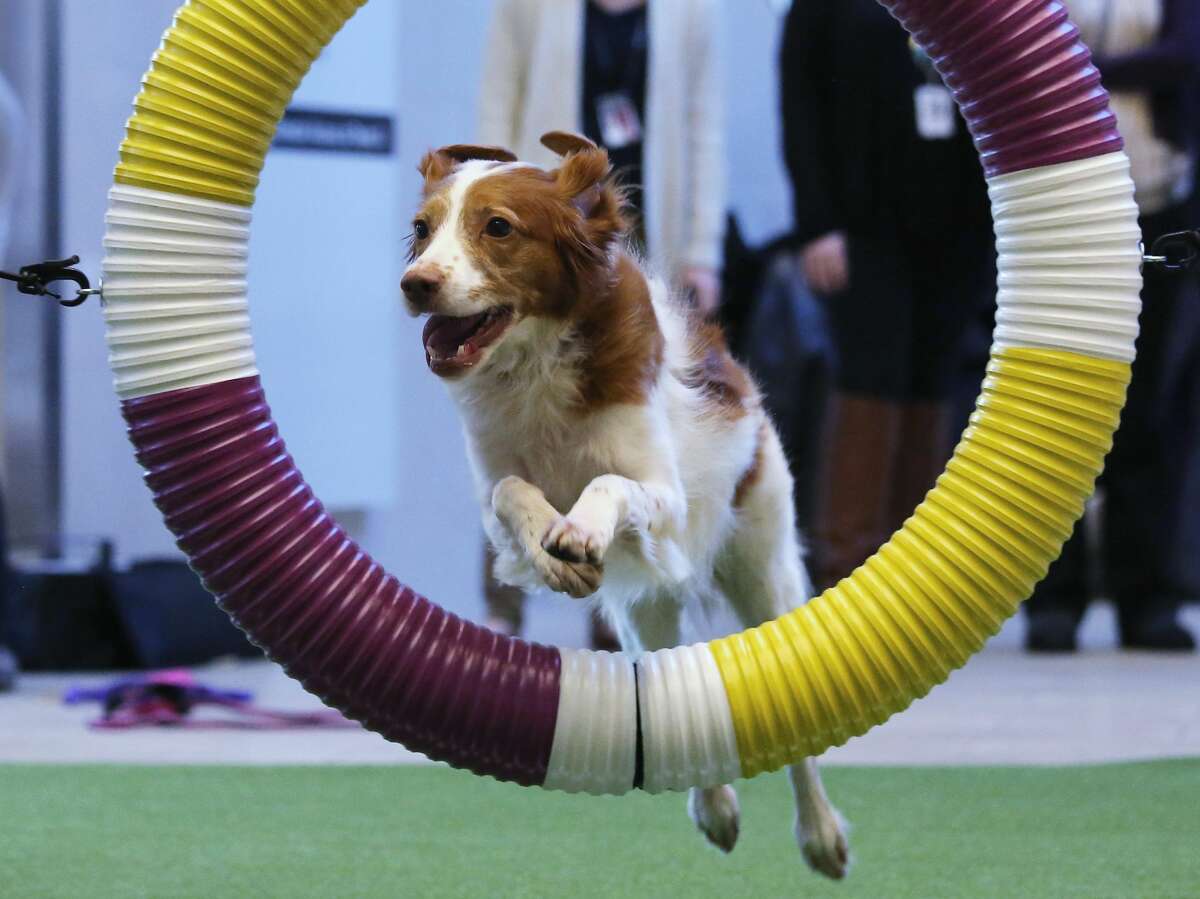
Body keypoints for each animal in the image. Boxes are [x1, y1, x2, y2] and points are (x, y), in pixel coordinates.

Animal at [405, 133, 854, 878]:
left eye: (498, 227)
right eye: (421, 228)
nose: (416, 282)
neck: (535, 364)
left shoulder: (664, 497)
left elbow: (608, 483)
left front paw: (581, 533)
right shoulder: (495, 485)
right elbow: (512, 493)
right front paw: (553, 554)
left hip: (764, 570)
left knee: (797, 722)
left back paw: (819, 832)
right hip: (648, 610)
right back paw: (715, 804)